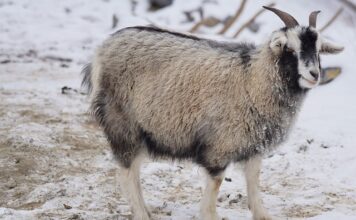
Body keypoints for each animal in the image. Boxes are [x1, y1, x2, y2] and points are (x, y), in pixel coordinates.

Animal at [82, 6, 344, 220]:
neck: (252, 79)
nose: (314, 74)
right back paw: (141, 214)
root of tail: (100, 52)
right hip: (123, 124)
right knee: (127, 173)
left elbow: (254, 182)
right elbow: (215, 187)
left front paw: (262, 214)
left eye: (319, 50)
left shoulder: (254, 145)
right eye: (289, 48)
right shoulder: (219, 146)